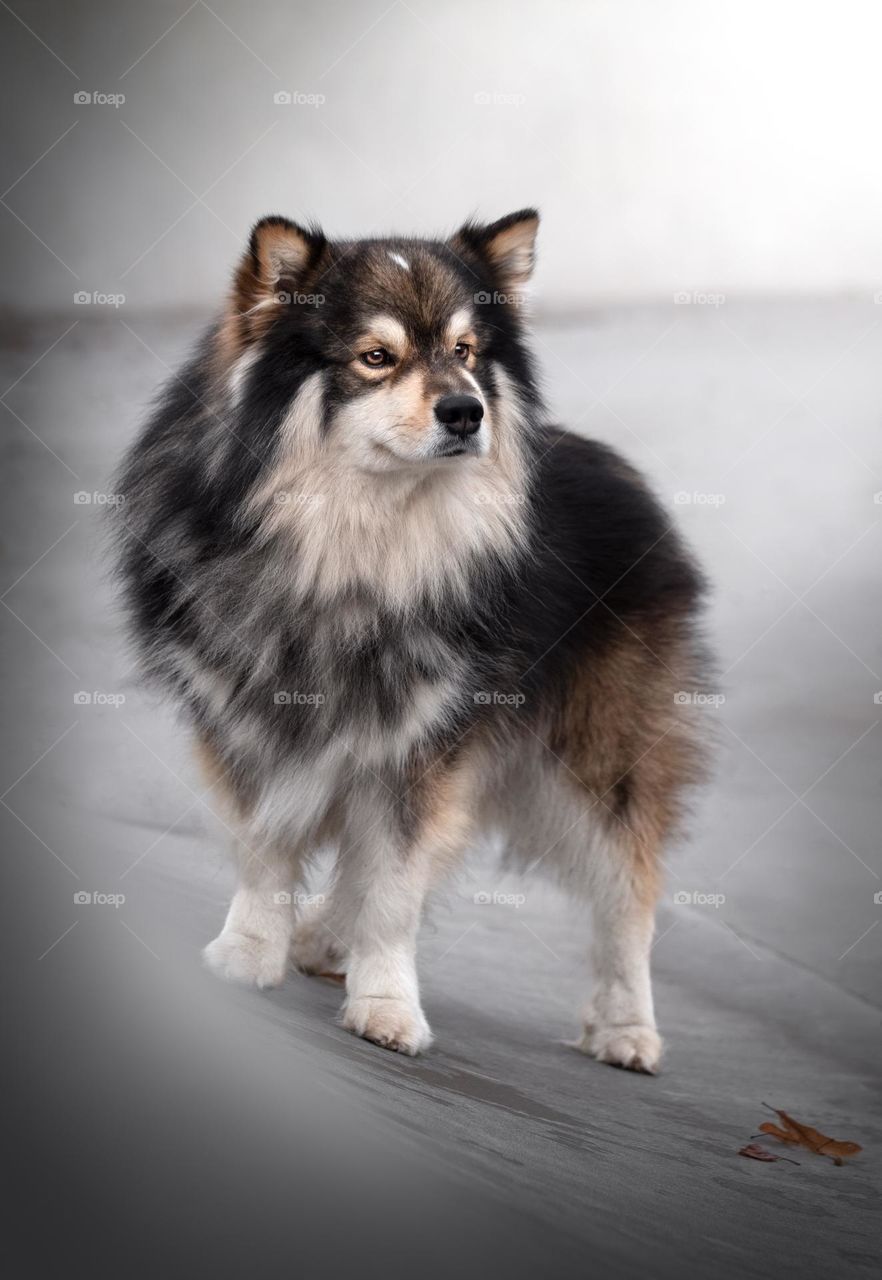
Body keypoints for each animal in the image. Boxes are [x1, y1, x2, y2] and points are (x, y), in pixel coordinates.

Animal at [115, 209, 706, 1070]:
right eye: (376, 358)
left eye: (465, 351)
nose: (466, 411)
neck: (355, 547)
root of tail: (626, 477)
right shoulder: (249, 720)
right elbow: (268, 848)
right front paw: (250, 953)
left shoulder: (426, 743)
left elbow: (396, 885)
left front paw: (387, 1006)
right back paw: (323, 939)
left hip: (601, 758)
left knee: (628, 890)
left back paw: (628, 1027)